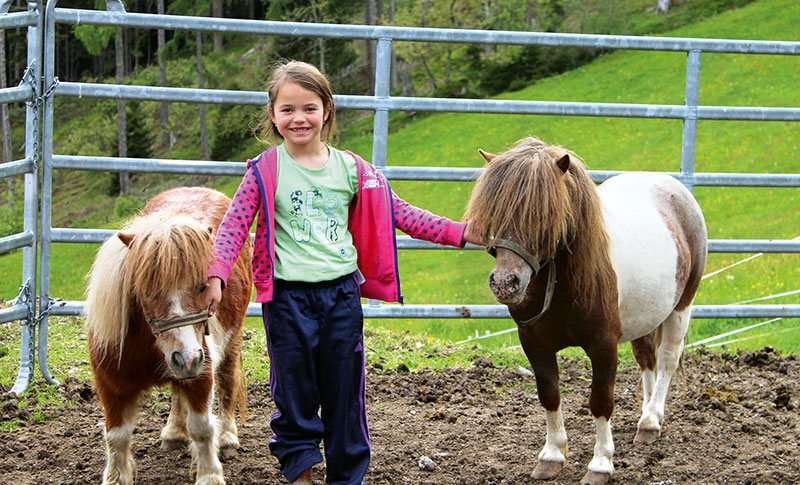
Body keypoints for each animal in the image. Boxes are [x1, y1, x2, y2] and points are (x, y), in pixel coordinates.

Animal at [84, 186, 250, 484]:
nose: (188, 358)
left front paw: (208, 474)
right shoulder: (110, 384)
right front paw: (116, 476)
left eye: (202, 286)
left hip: (230, 343)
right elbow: (116, 436)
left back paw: (228, 438)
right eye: (147, 291)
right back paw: (174, 432)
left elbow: (202, 428)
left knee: (227, 382)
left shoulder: (201, 374)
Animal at [466, 137, 708, 484]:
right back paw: (645, 415)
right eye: (494, 212)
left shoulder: (603, 346)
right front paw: (552, 456)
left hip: (681, 307)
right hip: (646, 316)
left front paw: (601, 463)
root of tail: (675, 189)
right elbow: (550, 395)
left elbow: (601, 401)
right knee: (647, 360)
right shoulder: (534, 344)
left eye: (544, 215)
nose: (505, 283)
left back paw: (651, 421)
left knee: (666, 360)